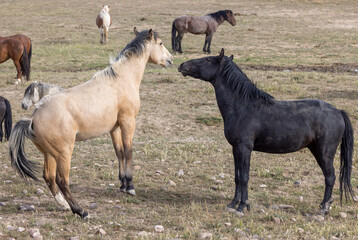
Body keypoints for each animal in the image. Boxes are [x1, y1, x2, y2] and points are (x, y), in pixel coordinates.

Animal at [10, 27, 173, 218]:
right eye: (160, 43)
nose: (170, 59)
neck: (121, 79)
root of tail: (33, 118)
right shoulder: (128, 122)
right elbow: (128, 151)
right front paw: (130, 186)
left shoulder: (114, 128)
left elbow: (119, 152)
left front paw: (123, 184)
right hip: (64, 153)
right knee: (61, 180)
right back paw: (80, 210)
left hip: (49, 154)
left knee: (49, 178)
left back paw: (64, 205)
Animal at [179, 49, 356, 216]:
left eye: (208, 60)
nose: (182, 65)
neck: (242, 106)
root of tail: (338, 112)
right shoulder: (236, 149)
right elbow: (237, 177)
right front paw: (233, 204)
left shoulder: (245, 148)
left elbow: (244, 177)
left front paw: (242, 206)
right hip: (316, 150)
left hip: (324, 153)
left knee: (330, 177)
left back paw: (324, 209)